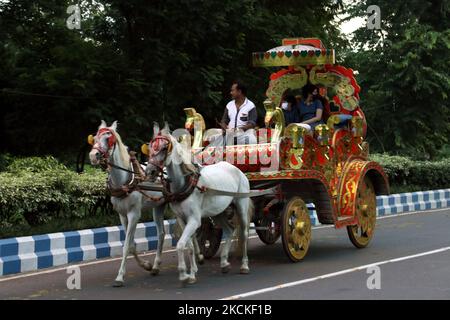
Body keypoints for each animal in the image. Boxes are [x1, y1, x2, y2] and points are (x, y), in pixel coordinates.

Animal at [89, 120, 192, 288]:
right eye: (94, 138)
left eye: (108, 138)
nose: (93, 155)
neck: (125, 180)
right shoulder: (122, 215)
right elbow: (130, 244)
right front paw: (146, 265)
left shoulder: (134, 214)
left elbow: (126, 245)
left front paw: (120, 277)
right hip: (158, 207)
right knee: (161, 233)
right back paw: (156, 266)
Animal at [147, 123, 253, 284]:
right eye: (150, 146)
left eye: (164, 148)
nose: (150, 171)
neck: (185, 184)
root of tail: (237, 169)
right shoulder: (182, 219)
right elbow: (189, 245)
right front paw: (191, 273)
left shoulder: (194, 220)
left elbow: (180, 245)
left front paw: (183, 274)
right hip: (218, 212)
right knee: (229, 230)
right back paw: (224, 263)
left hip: (241, 204)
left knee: (244, 233)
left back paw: (244, 266)